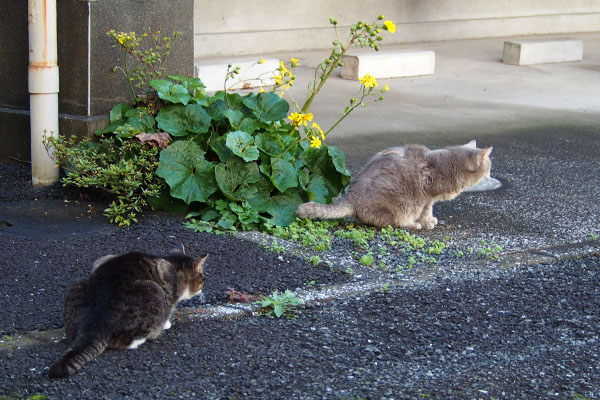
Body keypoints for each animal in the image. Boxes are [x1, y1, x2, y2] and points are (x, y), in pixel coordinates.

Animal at [47, 245, 207, 380]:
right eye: (202, 278)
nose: (202, 287)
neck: (173, 263)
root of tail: (94, 324)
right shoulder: (169, 293)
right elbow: (167, 313)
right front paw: (166, 324)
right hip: (154, 291)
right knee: (125, 341)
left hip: (78, 285)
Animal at [298, 140, 492, 228]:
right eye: (490, 165)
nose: (491, 172)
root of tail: (351, 197)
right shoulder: (428, 197)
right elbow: (427, 211)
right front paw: (428, 222)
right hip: (397, 205)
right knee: (393, 222)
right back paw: (413, 224)